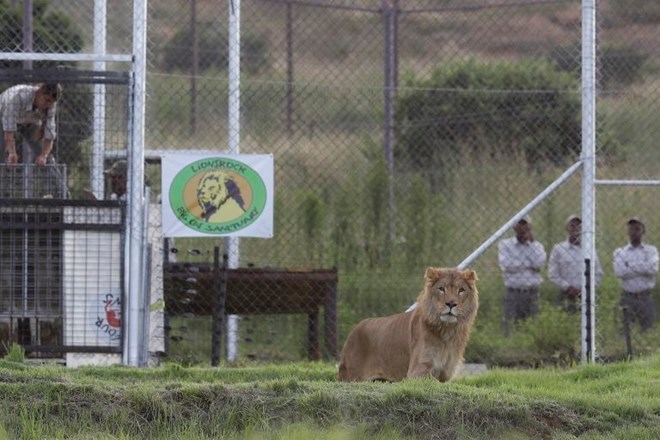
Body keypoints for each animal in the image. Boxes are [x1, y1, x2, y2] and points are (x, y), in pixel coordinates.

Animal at [338, 266, 476, 384]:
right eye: (441, 288)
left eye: (461, 290)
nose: (451, 303)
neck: (448, 330)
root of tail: (353, 331)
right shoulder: (416, 371)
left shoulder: (445, 374)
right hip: (352, 376)